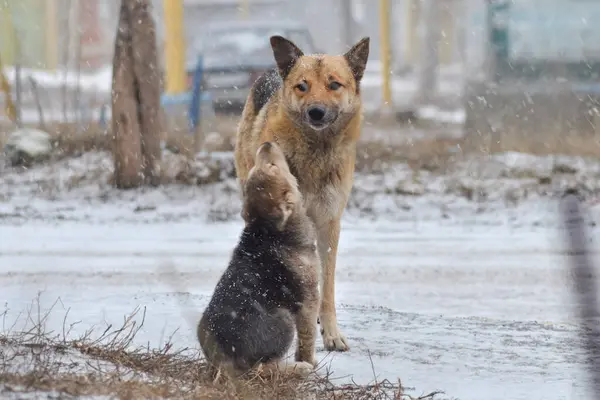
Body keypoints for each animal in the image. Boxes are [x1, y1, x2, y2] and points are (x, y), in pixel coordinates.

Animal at [236, 36, 370, 350]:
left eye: (334, 85)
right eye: (302, 86)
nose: (316, 112)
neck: (315, 154)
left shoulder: (329, 223)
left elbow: (327, 285)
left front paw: (332, 333)